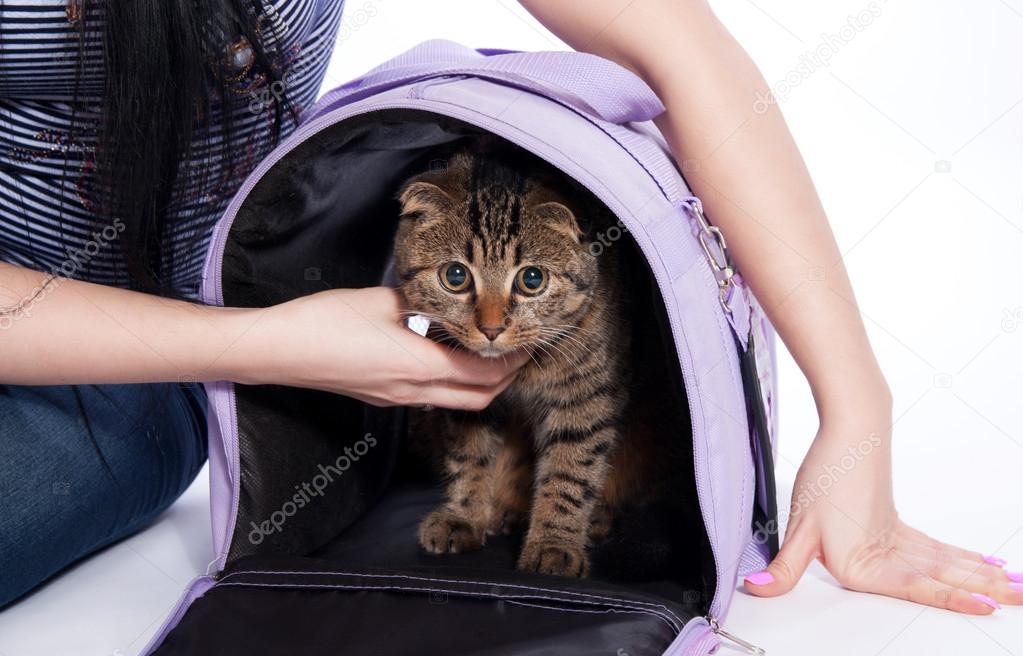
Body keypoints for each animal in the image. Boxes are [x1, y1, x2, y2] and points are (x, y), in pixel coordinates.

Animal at [390, 145, 671, 577]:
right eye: (455, 276)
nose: (490, 328)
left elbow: (570, 474)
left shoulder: (583, 402)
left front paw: (554, 543)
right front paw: (464, 515)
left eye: (532, 280)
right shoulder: (464, 401)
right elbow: (469, 457)